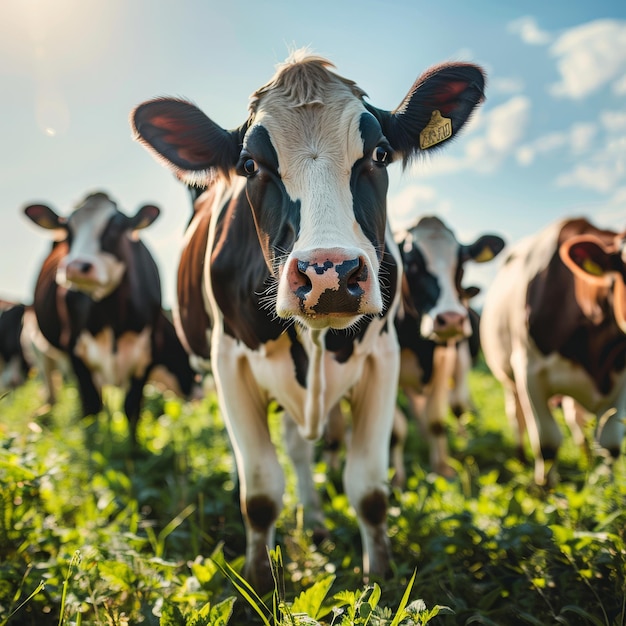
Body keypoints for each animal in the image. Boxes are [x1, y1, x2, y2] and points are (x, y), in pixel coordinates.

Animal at [23, 190, 167, 444]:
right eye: (68, 229)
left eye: (116, 227)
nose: (76, 267)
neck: (112, 317)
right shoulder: (75, 353)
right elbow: (91, 408)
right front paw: (94, 446)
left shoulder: (149, 352)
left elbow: (132, 407)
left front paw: (133, 449)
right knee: (52, 389)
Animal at [129, 48, 486, 588]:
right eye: (249, 164)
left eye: (380, 154)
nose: (329, 273)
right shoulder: (228, 364)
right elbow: (259, 493)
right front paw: (258, 582)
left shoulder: (384, 359)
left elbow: (369, 490)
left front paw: (379, 579)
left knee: (301, 447)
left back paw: (316, 520)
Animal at [392, 217, 504, 480]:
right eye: (411, 264)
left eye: (461, 264)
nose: (452, 319)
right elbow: (397, 429)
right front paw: (397, 477)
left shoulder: (445, 361)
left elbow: (437, 420)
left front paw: (442, 468)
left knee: (457, 405)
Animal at [478, 217, 624, 486]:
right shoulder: (529, 373)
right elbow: (547, 444)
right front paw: (545, 490)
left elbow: (610, 445)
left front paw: (606, 490)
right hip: (509, 379)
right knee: (517, 417)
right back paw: (521, 460)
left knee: (575, 419)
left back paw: (586, 458)